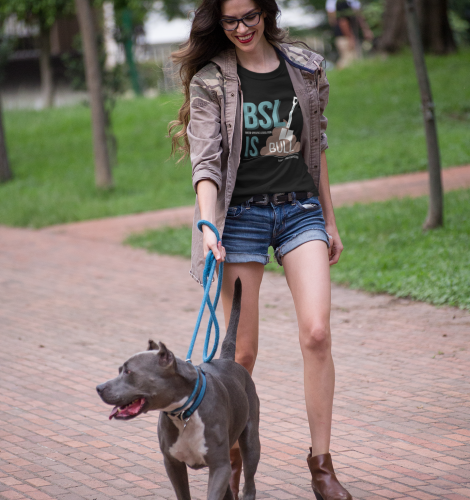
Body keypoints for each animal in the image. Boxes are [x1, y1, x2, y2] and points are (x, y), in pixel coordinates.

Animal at [96, 282, 260, 500]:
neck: (184, 413)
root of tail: (227, 360)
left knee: (249, 482)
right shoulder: (173, 463)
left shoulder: (219, 466)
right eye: (119, 370)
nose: (99, 388)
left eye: (129, 372)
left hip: (250, 442)